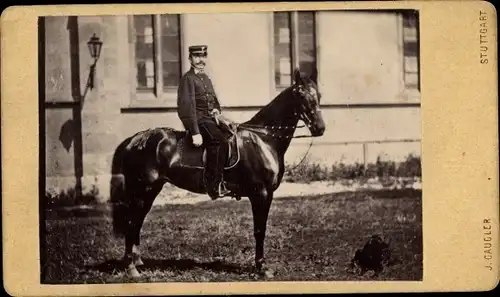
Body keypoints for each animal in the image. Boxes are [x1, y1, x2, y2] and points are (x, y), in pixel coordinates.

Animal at [110, 67, 326, 278]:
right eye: (301, 95)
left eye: (319, 95)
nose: (320, 128)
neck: (263, 139)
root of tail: (134, 140)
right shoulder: (261, 193)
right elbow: (259, 230)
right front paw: (262, 267)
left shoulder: (266, 194)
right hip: (142, 190)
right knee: (131, 222)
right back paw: (132, 268)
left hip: (150, 191)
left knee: (137, 221)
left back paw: (137, 261)